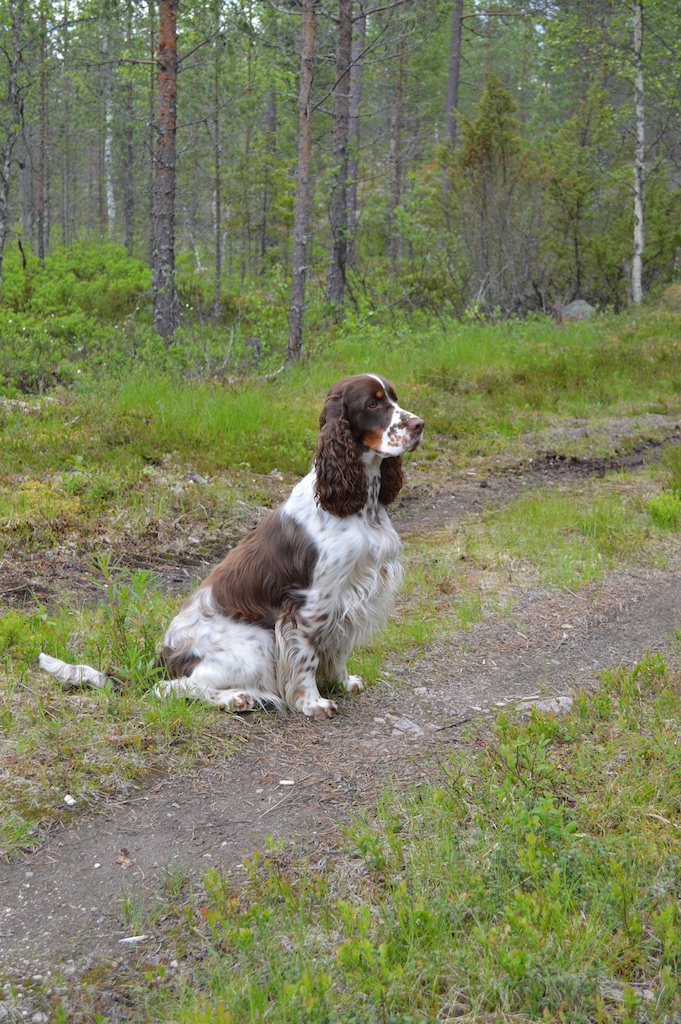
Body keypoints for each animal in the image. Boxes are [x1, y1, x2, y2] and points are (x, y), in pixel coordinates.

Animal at [40, 374, 424, 719]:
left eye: (394, 397)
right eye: (373, 404)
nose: (420, 425)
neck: (359, 505)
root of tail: (164, 658)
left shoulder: (349, 598)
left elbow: (339, 648)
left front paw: (343, 682)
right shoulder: (311, 603)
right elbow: (306, 657)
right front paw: (312, 703)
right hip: (254, 644)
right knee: (169, 688)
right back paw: (236, 698)